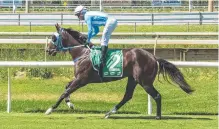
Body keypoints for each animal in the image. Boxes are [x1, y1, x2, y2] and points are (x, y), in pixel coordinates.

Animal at [45, 23, 192, 119]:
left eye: (53, 38)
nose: (48, 50)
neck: (82, 53)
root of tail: (153, 57)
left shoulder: (82, 80)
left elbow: (65, 92)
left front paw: (50, 109)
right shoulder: (78, 79)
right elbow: (66, 87)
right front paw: (70, 104)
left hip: (145, 82)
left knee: (157, 96)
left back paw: (158, 117)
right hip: (133, 79)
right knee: (127, 96)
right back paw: (109, 113)